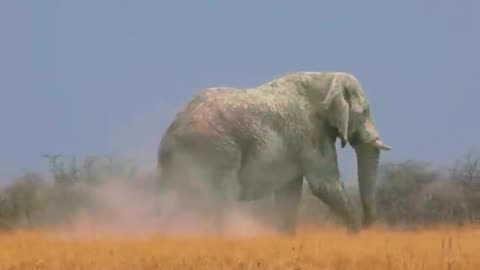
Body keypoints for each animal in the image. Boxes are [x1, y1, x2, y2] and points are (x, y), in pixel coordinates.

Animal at [158, 71, 390, 234]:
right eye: (364, 112)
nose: (366, 224)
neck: (326, 77)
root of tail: (170, 133)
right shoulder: (312, 133)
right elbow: (324, 185)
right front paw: (354, 235)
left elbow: (289, 195)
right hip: (214, 150)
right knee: (219, 200)